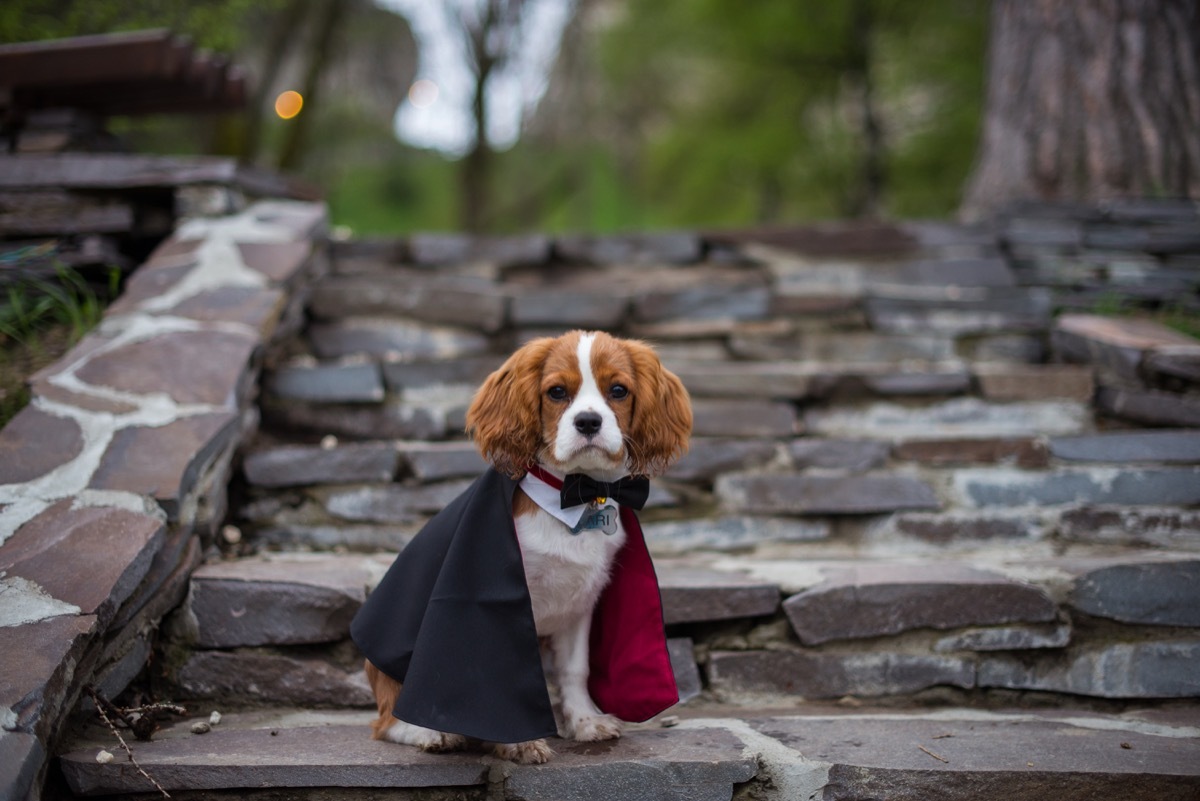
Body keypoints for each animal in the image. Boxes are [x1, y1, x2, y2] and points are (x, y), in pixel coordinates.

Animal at [355, 330, 691, 762]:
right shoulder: (506, 599)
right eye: (557, 392)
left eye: (618, 390)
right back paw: (431, 732)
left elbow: (575, 668)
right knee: (387, 720)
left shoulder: (580, 600)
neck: (577, 496)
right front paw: (518, 740)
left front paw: (584, 722)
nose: (588, 421)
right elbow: (510, 670)